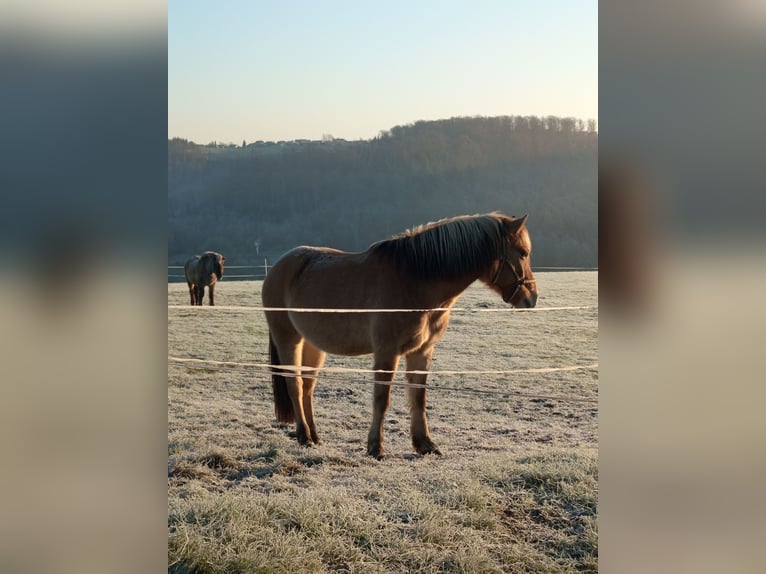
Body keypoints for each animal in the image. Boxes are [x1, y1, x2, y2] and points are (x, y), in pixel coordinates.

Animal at [260, 214, 536, 462]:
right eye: (522, 252)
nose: (531, 298)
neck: (415, 281)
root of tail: (278, 267)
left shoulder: (422, 351)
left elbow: (419, 397)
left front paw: (425, 444)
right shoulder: (387, 352)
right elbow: (382, 398)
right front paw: (376, 448)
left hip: (313, 346)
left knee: (307, 387)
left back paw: (315, 436)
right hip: (288, 338)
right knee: (294, 385)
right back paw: (303, 436)